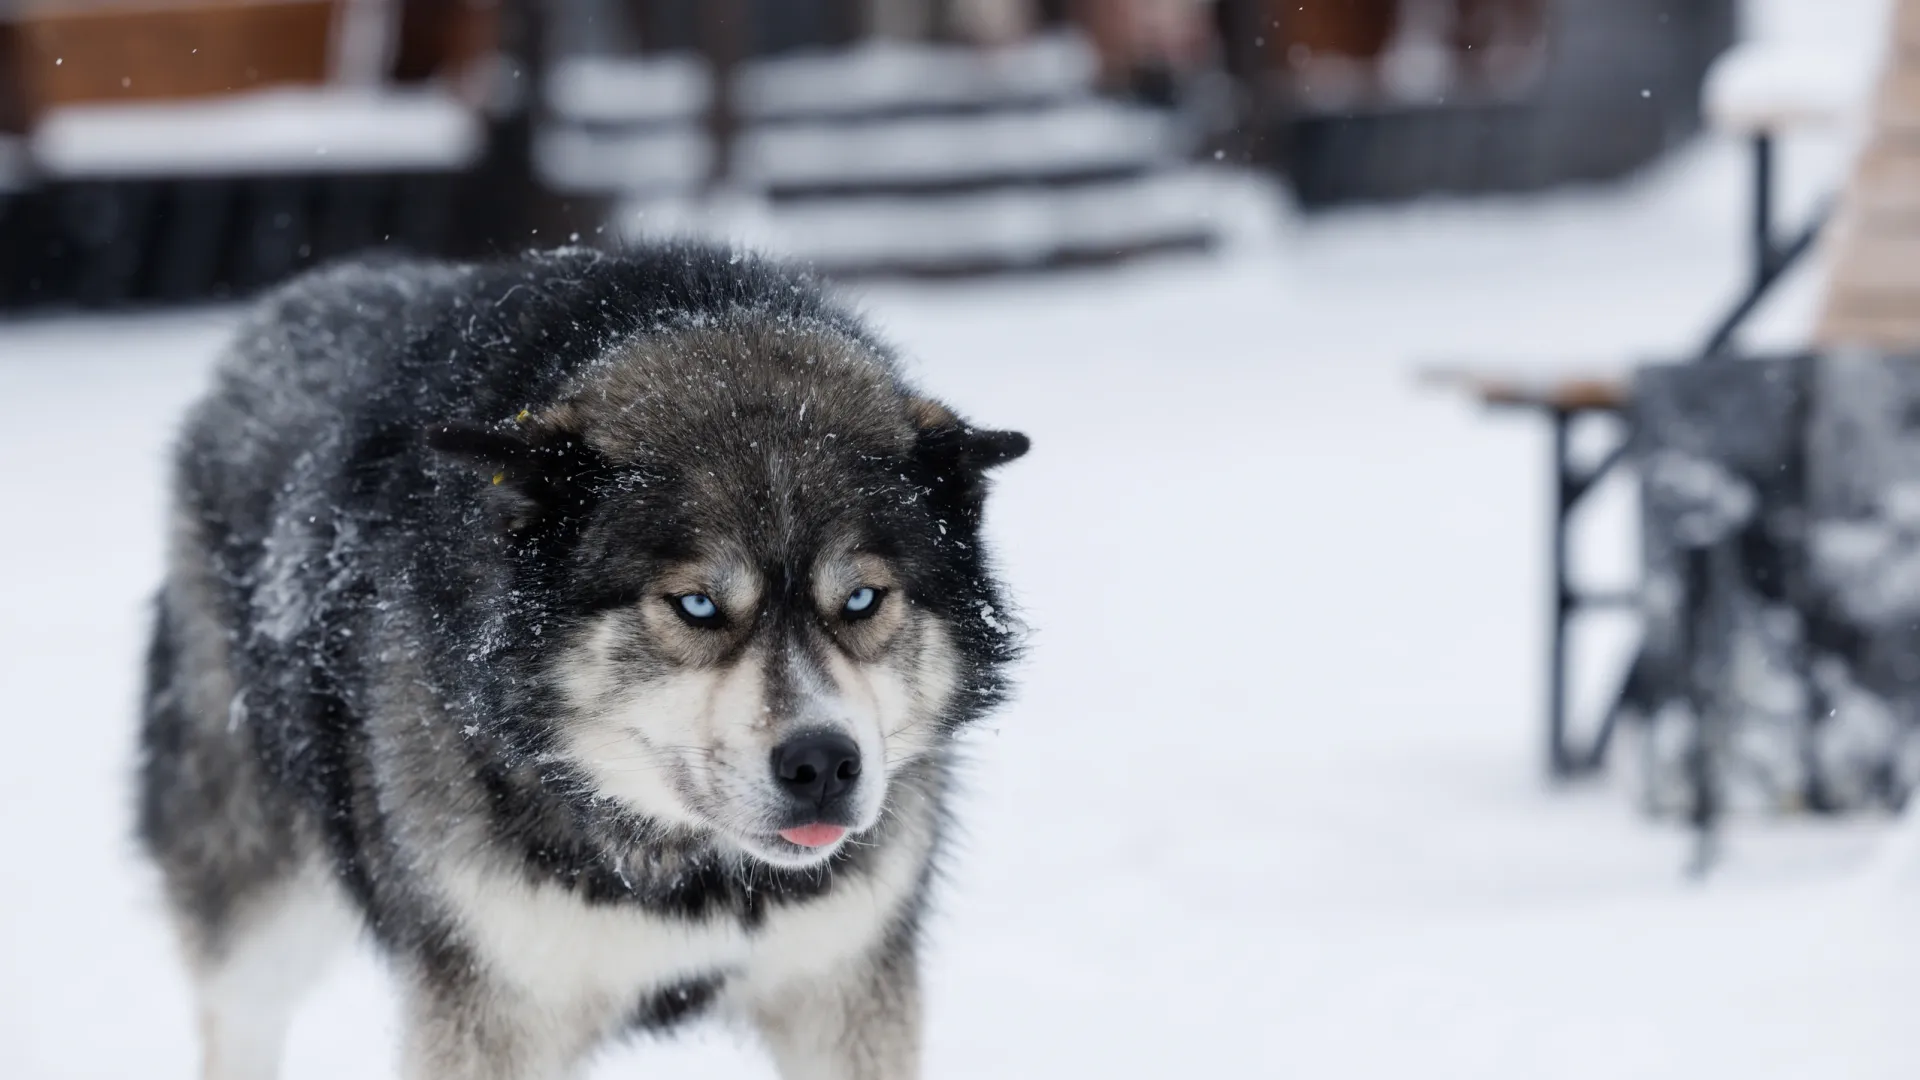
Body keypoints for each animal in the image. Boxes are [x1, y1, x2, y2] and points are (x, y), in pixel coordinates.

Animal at [137, 245, 1029, 1076]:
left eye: (862, 600)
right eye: (697, 606)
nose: (822, 765)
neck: (684, 875)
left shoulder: (844, 985)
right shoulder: (492, 1011)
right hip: (261, 906)